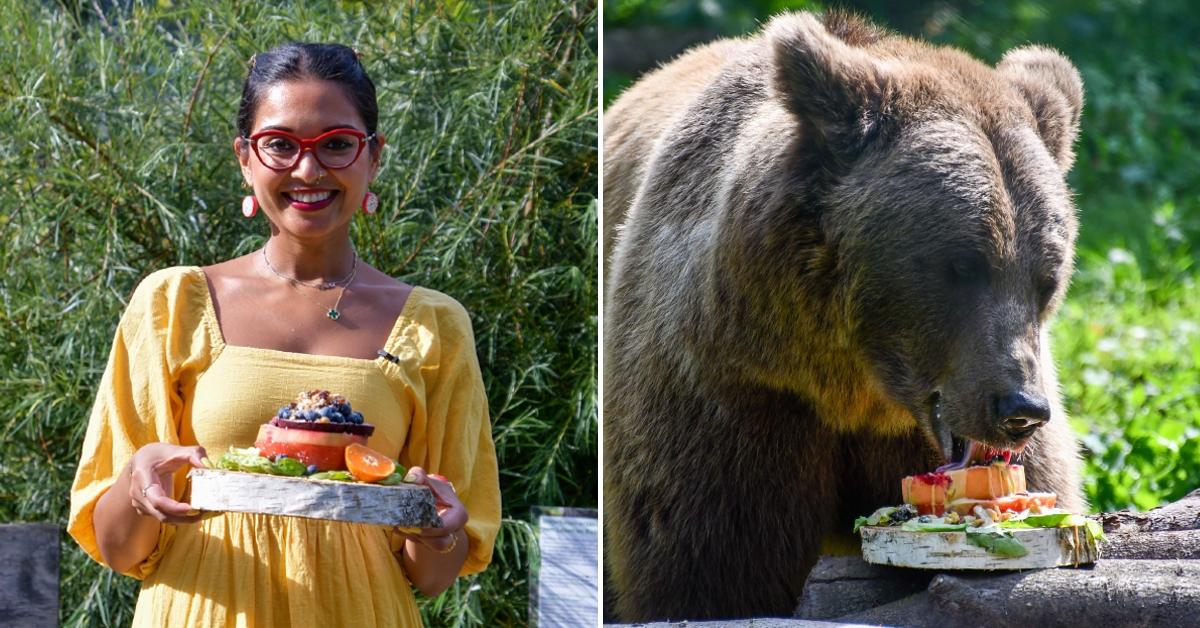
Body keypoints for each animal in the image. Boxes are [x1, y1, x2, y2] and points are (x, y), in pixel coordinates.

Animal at [609, 9, 1089, 624]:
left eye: (1046, 278)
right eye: (963, 265)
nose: (1020, 409)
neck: (853, 385)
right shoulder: (732, 393)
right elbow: (712, 565)